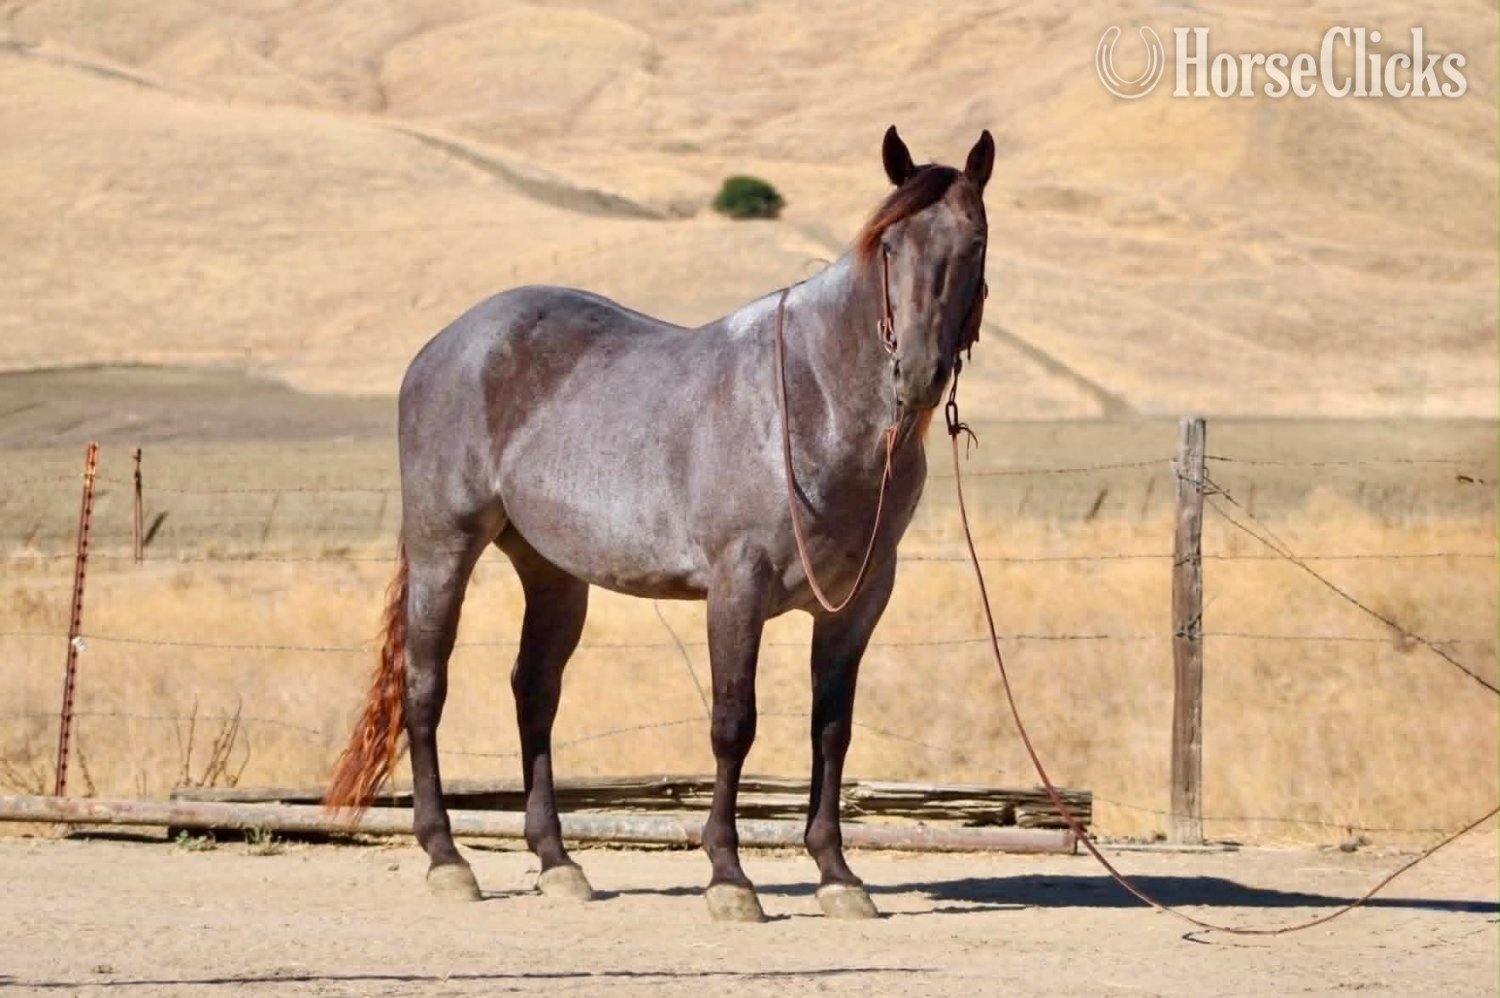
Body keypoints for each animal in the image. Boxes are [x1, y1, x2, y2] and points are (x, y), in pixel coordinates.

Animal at [325, 125, 993, 922]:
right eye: (889, 245)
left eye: (975, 242)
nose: (918, 373)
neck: (815, 399)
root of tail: (444, 345)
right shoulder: (737, 588)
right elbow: (734, 724)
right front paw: (729, 878)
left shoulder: (859, 602)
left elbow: (831, 727)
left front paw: (837, 875)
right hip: (444, 548)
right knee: (426, 687)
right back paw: (446, 858)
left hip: (552, 572)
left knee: (534, 692)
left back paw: (558, 862)